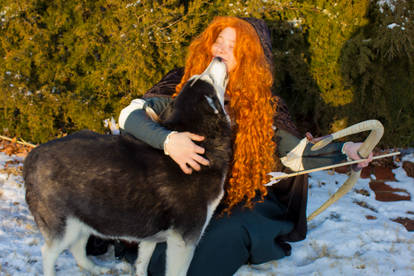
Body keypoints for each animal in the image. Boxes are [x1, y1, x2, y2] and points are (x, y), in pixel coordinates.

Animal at [24, 57, 231, 274]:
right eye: (208, 80)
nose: (217, 57)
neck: (199, 138)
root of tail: (32, 156)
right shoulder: (184, 240)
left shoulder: (151, 235)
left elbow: (142, 261)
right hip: (65, 226)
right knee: (48, 253)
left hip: (84, 219)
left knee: (77, 248)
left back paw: (96, 268)